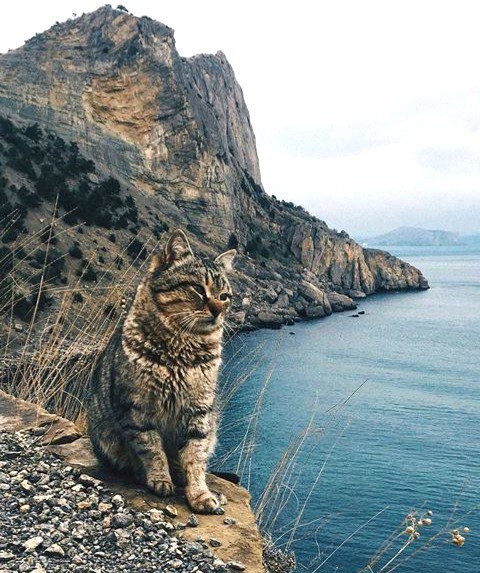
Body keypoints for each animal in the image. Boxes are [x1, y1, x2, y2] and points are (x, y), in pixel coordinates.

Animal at [88, 230, 236, 512]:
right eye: (198, 288)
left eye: (224, 296)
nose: (218, 310)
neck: (181, 353)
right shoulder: (138, 409)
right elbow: (152, 449)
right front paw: (159, 479)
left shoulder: (199, 411)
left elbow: (195, 456)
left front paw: (199, 493)